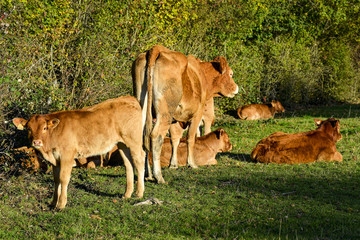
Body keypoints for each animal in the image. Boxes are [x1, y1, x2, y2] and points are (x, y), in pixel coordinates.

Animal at [12, 96, 145, 209]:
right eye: (29, 129)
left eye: (44, 128)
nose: (36, 142)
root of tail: (128, 98)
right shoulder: (56, 160)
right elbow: (56, 180)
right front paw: (53, 203)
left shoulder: (67, 155)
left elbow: (64, 178)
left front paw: (61, 204)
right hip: (122, 144)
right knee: (128, 164)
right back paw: (127, 194)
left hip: (134, 140)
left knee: (139, 160)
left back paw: (139, 193)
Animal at [132, 45, 239, 184]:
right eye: (231, 74)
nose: (236, 87)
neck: (201, 75)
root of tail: (156, 49)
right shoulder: (197, 114)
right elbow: (191, 138)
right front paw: (191, 163)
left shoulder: (175, 119)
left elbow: (175, 139)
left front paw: (173, 164)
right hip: (165, 112)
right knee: (156, 136)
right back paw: (158, 176)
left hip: (144, 106)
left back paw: (147, 174)